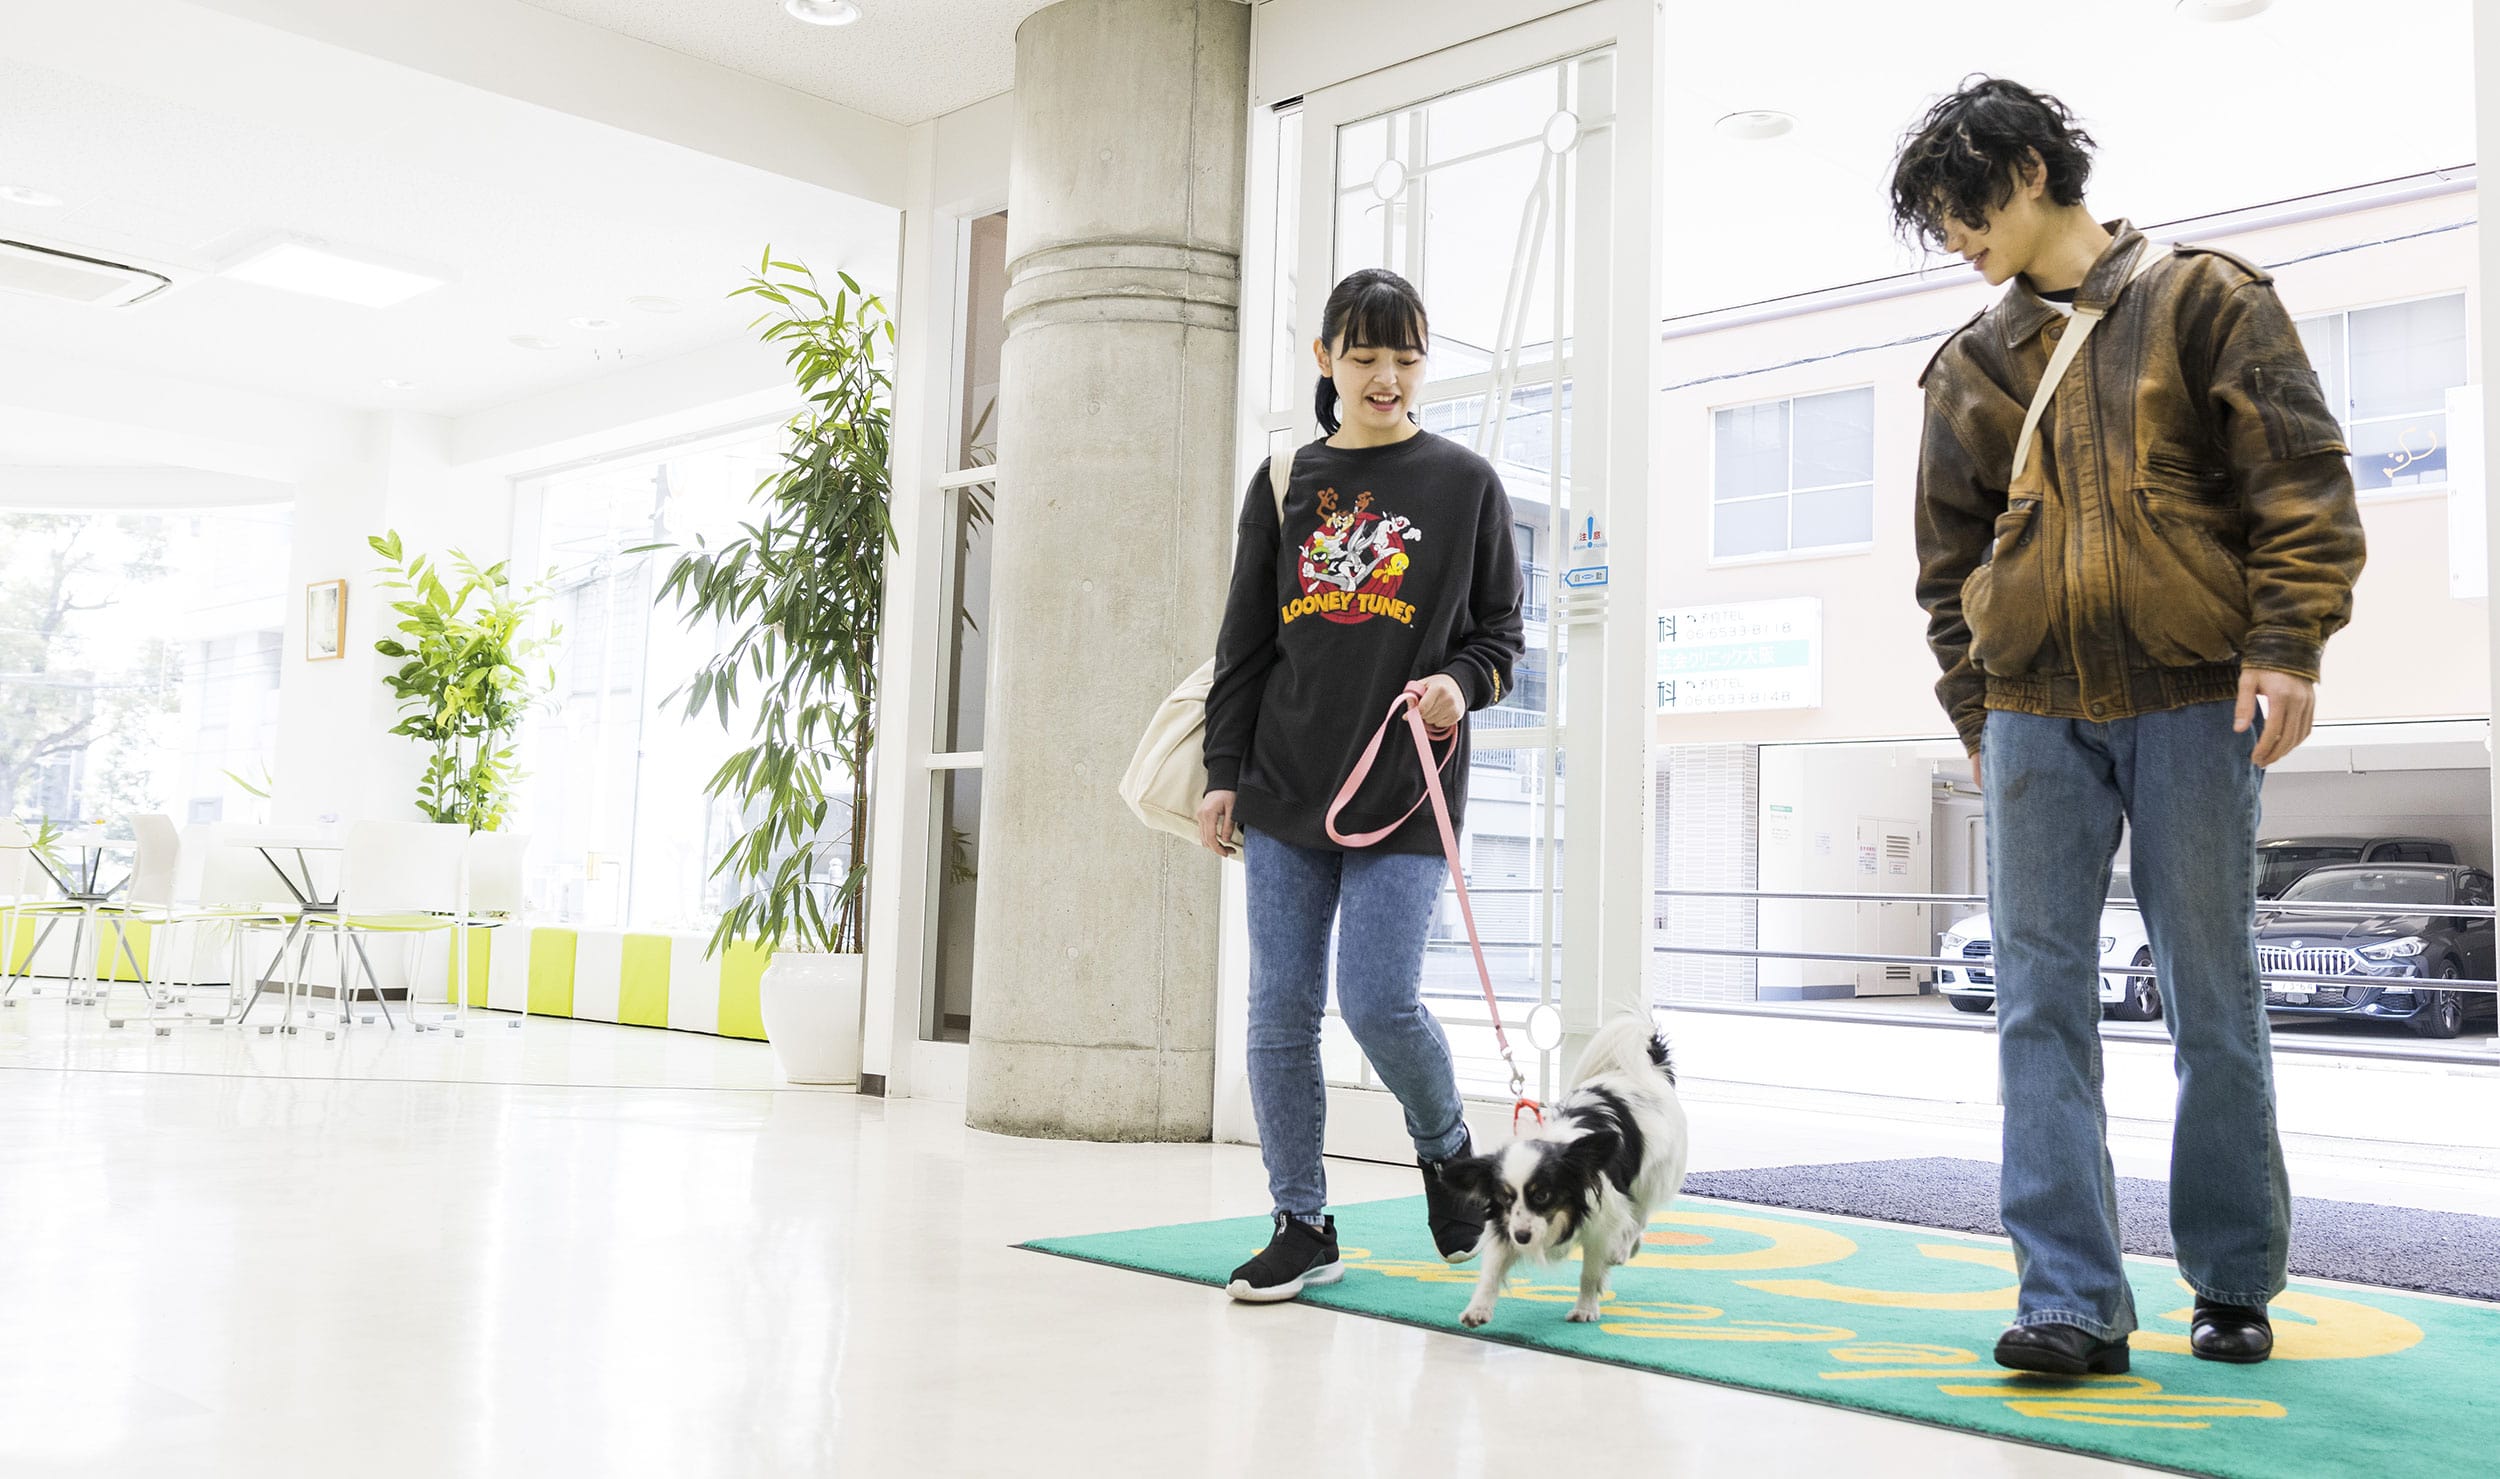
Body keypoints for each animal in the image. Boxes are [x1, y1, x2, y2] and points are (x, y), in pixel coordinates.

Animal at [1440, 1019, 1690, 1329]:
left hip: (1650, 1177)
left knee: (1639, 1216)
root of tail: (1650, 1067)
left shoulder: (1600, 1225)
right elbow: (1492, 1270)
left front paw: (1585, 1308)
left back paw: (1621, 1249)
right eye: (1506, 1198)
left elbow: (1590, 1273)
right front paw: (1478, 1308)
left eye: (1542, 1196)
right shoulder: (1505, 1226)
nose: (1522, 1237)